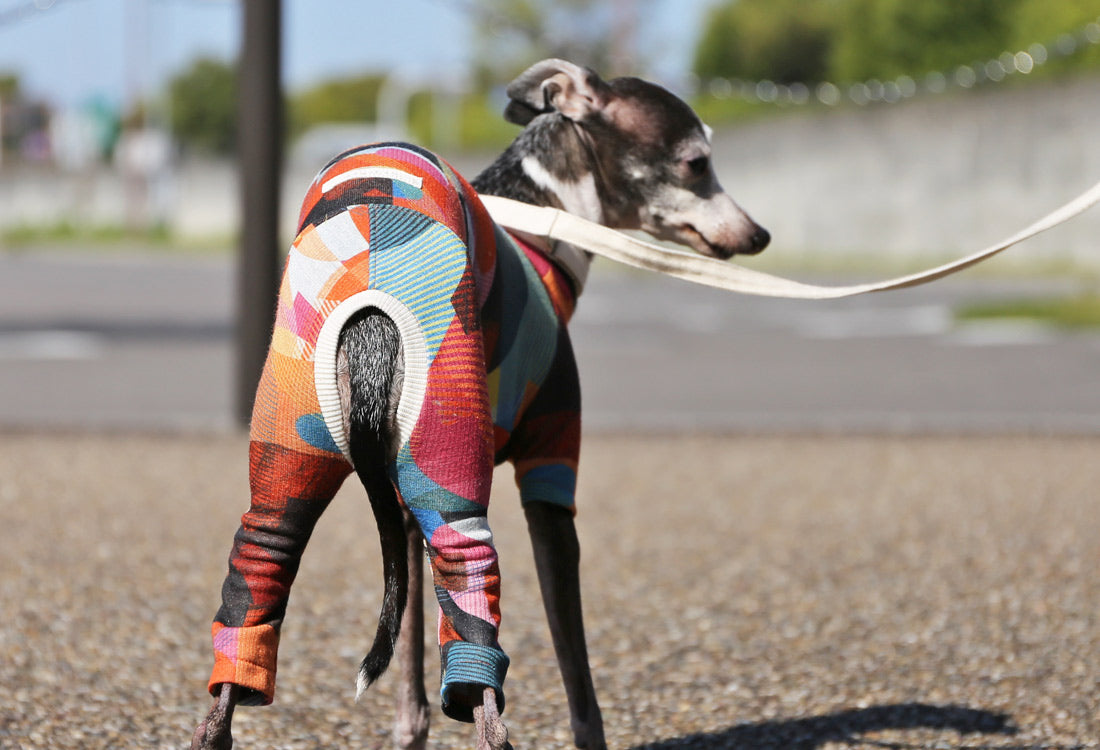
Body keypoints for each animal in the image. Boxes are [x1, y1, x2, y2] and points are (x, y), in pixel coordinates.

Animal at [191, 59, 765, 747]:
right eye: (696, 162)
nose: (759, 235)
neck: (540, 228)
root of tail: (371, 311)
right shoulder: (551, 476)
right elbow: (579, 682)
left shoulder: (406, 505)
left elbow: (412, 682)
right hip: (456, 499)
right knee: (481, 675)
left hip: (290, 475)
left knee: (248, 606)